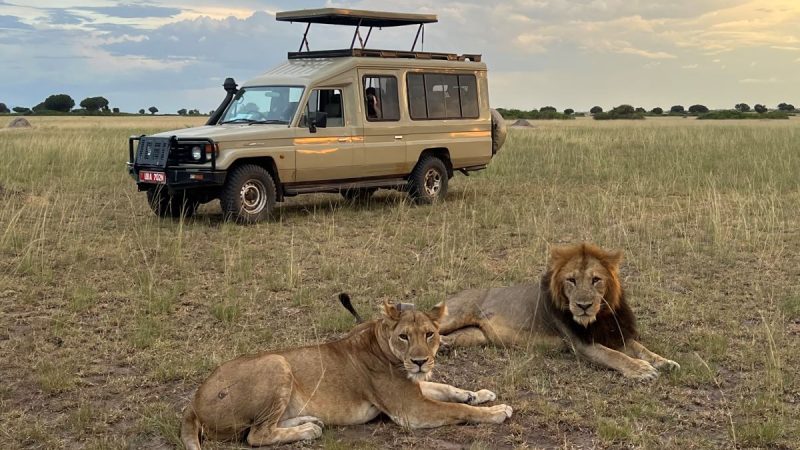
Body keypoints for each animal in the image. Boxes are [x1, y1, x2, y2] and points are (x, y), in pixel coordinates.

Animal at [181, 299, 512, 449]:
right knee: (256, 435)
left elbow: (447, 388)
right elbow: (457, 409)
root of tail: (192, 404)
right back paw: (309, 430)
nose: (420, 361)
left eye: (430, 334)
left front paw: (479, 394)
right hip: (277, 363)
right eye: (404, 336)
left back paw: (310, 420)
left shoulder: (414, 389)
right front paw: (497, 411)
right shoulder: (410, 411)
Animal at [437, 243, 680, 380]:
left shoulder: (614, 333)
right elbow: (615, 355)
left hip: (477, 335)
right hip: (455, 315)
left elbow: (641, 348)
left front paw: (665, 362)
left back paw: (443, 346)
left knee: (452, 336)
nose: (583, 306)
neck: (599, 316)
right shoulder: (582, 344)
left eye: (596, 280)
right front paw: (641, 370)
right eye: (571, 280)